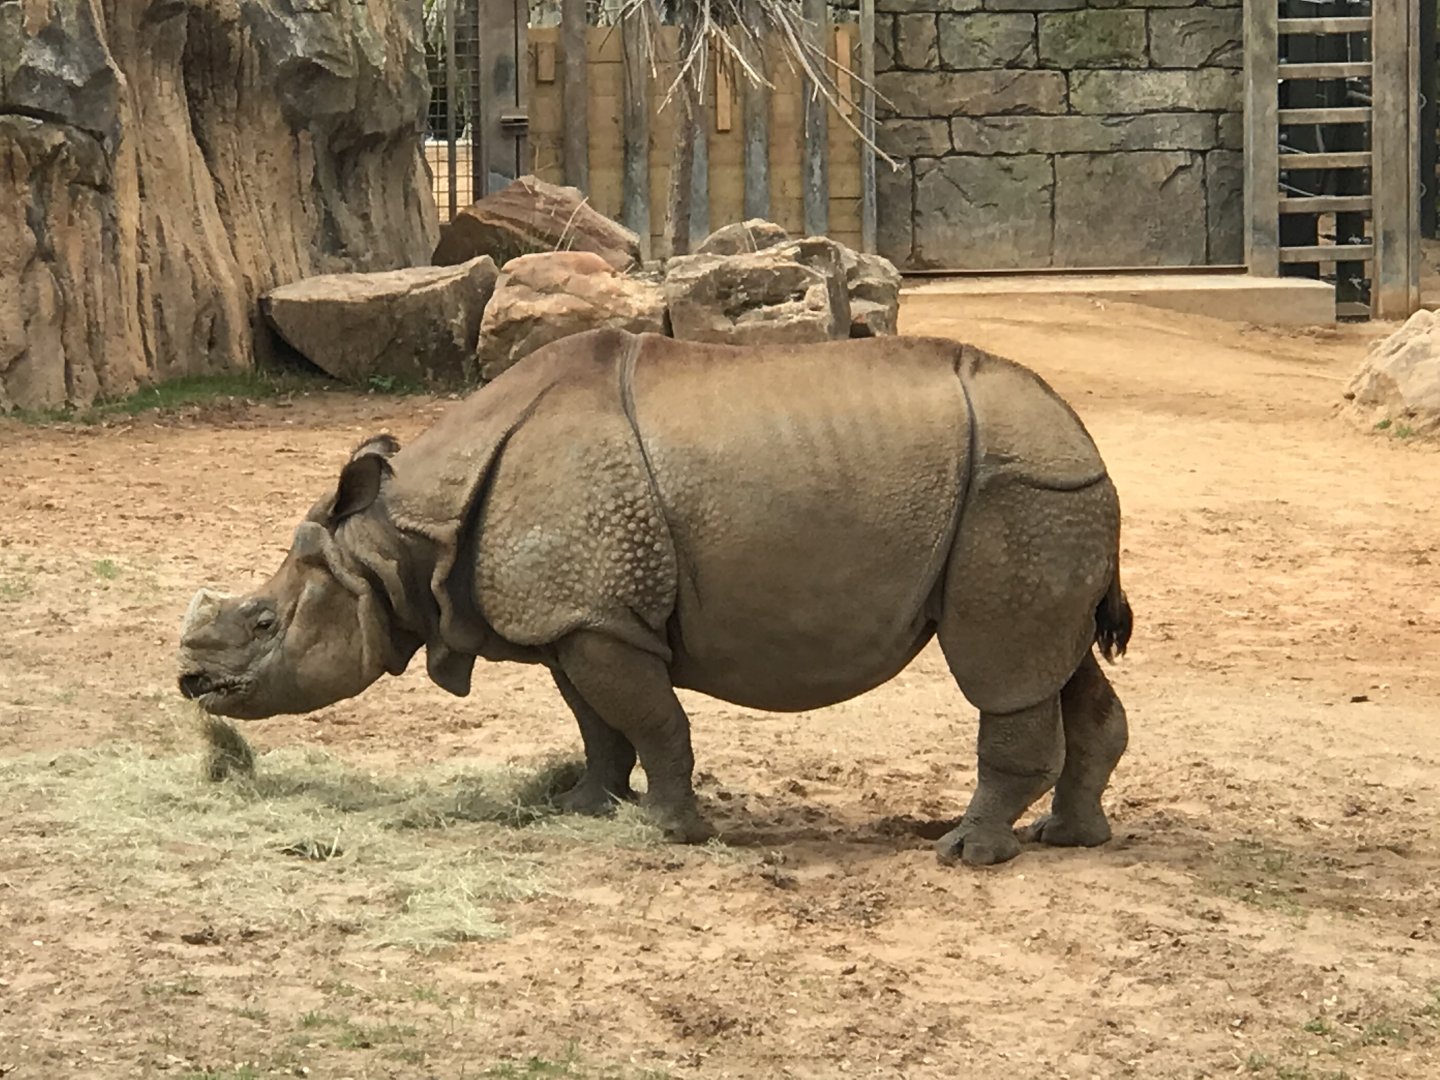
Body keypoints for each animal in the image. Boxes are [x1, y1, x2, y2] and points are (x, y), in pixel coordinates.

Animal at [177, 328, 1133, 867]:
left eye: (263, 622)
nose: (190, 686)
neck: (400, 538)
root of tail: (1083, 433)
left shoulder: (600, 618)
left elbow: (654, 721)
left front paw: (673, 832)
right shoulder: (579, 618)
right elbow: (599, 726)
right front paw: (584, 807)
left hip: (1019, 494)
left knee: (999, 669)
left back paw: (967, 855)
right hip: (1046, 494)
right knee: (1057, 665)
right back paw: (1069, 839)